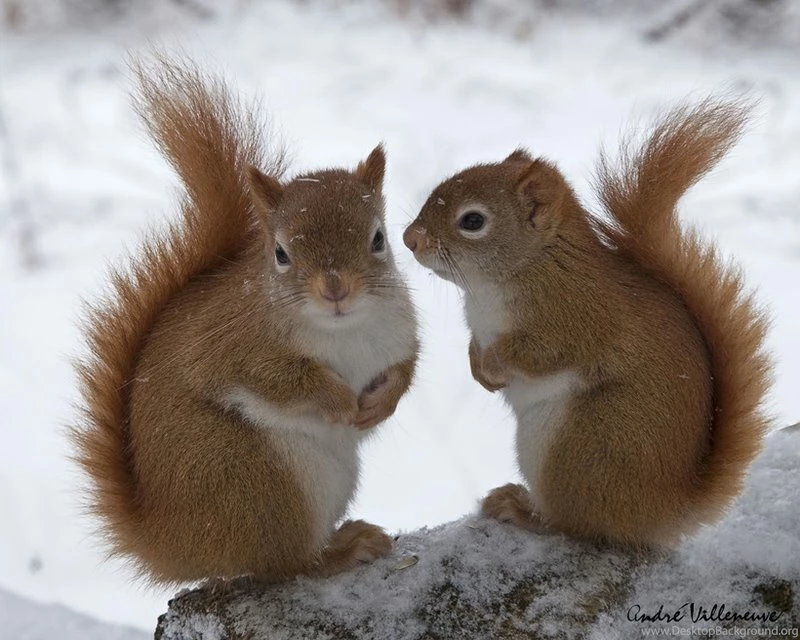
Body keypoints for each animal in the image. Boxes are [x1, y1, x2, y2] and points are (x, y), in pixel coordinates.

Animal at [70, 56, 419, 584]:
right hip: (258, 481)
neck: (342, 328)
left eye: (379, 239)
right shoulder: (233, 346)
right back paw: (340, 551)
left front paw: (382, 402)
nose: (335, 288)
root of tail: (177, 544)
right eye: (280, 253)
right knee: (285, 563)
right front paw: (339, 400)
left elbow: (406, 368)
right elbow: (279, 380)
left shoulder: (399, 332)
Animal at [403, 100, 772, 548]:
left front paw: (492, 364)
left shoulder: (576, 320)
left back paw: (524, 511)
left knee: (574, 523)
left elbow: (538, 354)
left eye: (472, 221)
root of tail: (662, 512)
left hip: (580, 445)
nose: (409, 239)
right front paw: (478, 368)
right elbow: (475, 345)